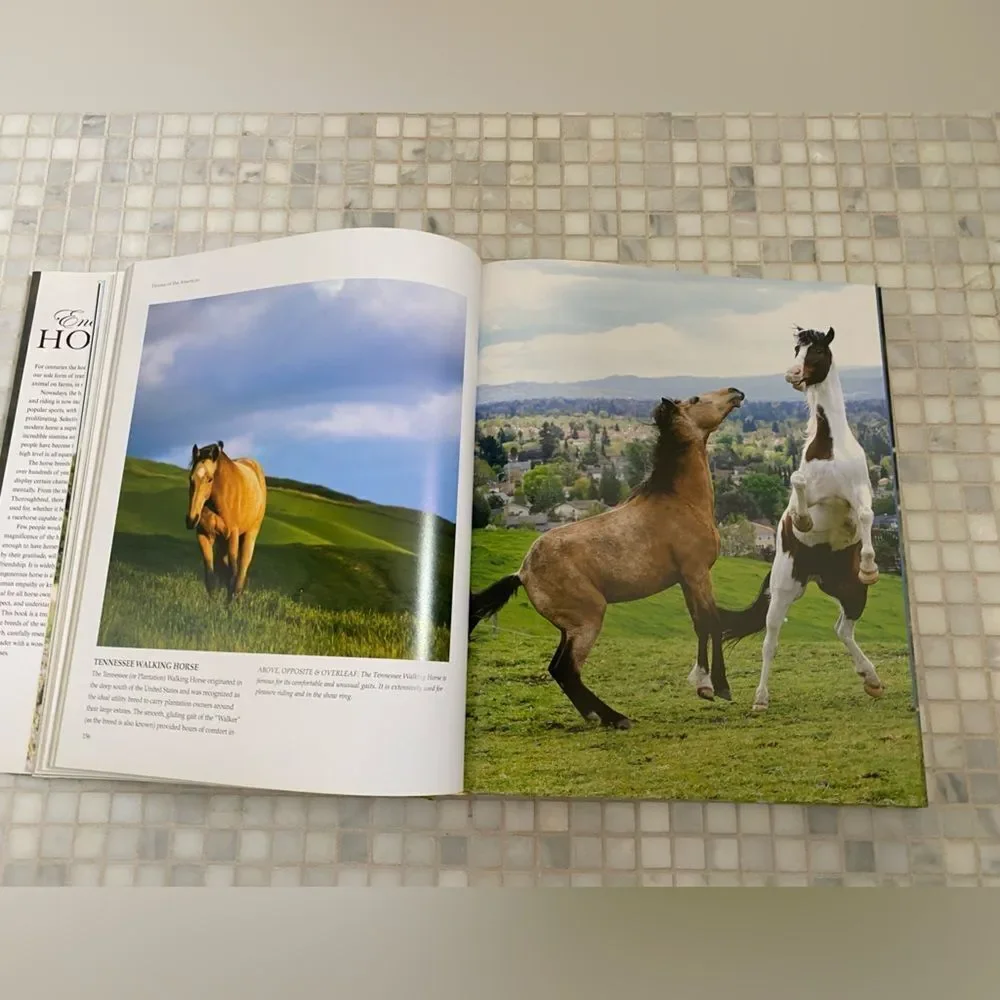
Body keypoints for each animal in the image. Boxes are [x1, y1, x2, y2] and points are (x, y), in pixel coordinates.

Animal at [186, 441, 267, 599]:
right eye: (191, 479)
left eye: (210, 479)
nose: (191, 519)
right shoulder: (204, 536)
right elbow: (211, 576)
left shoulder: (232, 536)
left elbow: (233, 573)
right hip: (221, 541)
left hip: (249, 534)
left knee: (242, 568)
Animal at [468, 387, 745, 729]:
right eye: (695, 400)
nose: (734, 392)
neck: (682, 503)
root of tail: (522, 573)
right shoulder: (697, 573)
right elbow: (713, 622)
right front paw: (718, 687)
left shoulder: (686, 580)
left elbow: (699, 624)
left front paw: (704, 684)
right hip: (588, 619)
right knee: (566, 670)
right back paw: (616, 718)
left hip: (570, 627)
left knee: (558, 668)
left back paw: (595, 715)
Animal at [719, 326, 884, 711]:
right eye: (796, 349)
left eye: (817, 351)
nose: (792, 375)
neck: (829, 448)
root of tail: (817, 573)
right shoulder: (808, 495)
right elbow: (797, 492)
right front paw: (804, 522)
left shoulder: (859, 490)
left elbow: (866, 514)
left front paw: (870, 566)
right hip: (782, 592)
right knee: (771, 641)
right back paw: (760, 699)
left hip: (852, 592)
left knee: (843, 629)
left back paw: (871, 679)